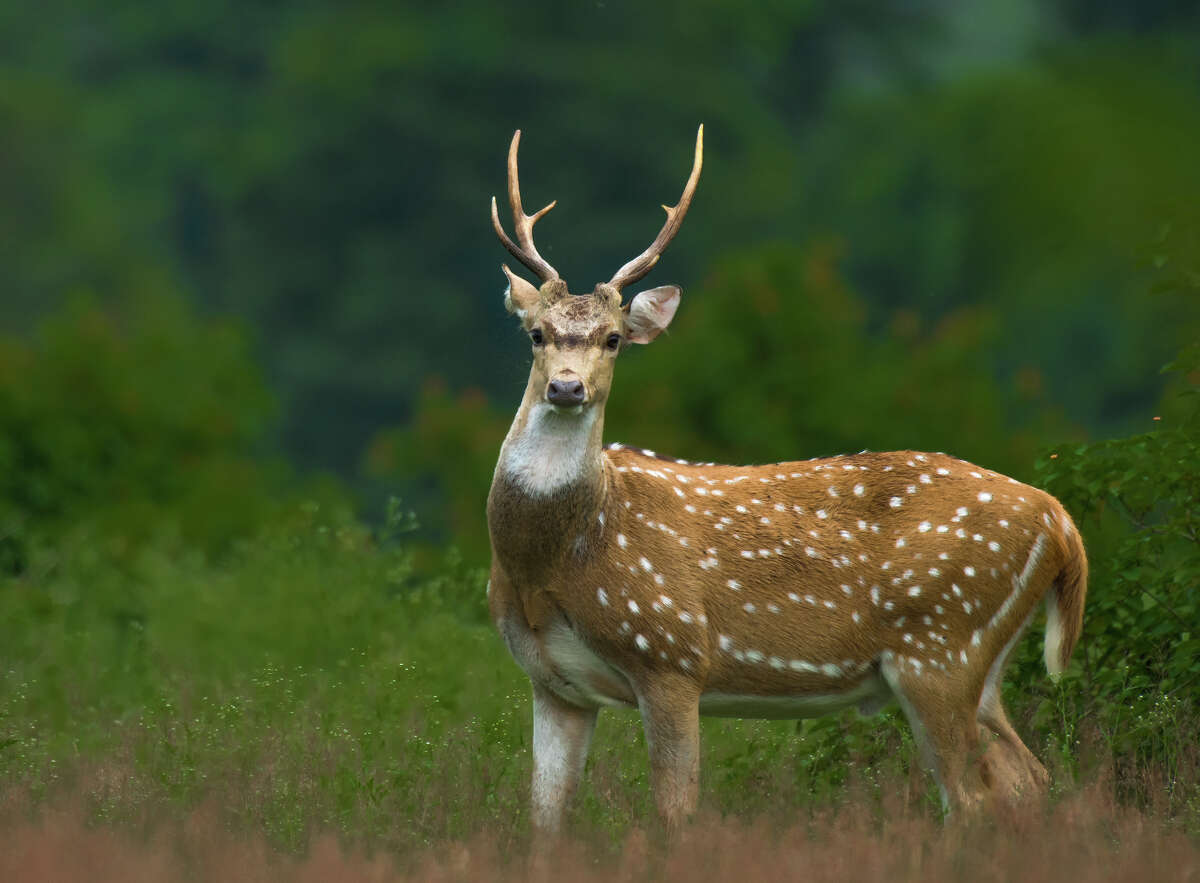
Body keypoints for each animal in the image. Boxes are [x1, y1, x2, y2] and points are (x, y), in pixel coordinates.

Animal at [484, 125, 1088, 837]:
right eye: (536, 333)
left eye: (612, 339)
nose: (566, 387)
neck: (557, 562)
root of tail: (1061, 522)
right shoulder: (553, 684)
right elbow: (544, 823)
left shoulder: (672, 653)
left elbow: (675, 813)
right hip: (980, 666)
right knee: (1030, 779)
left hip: (941, 645)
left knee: (970, 797)